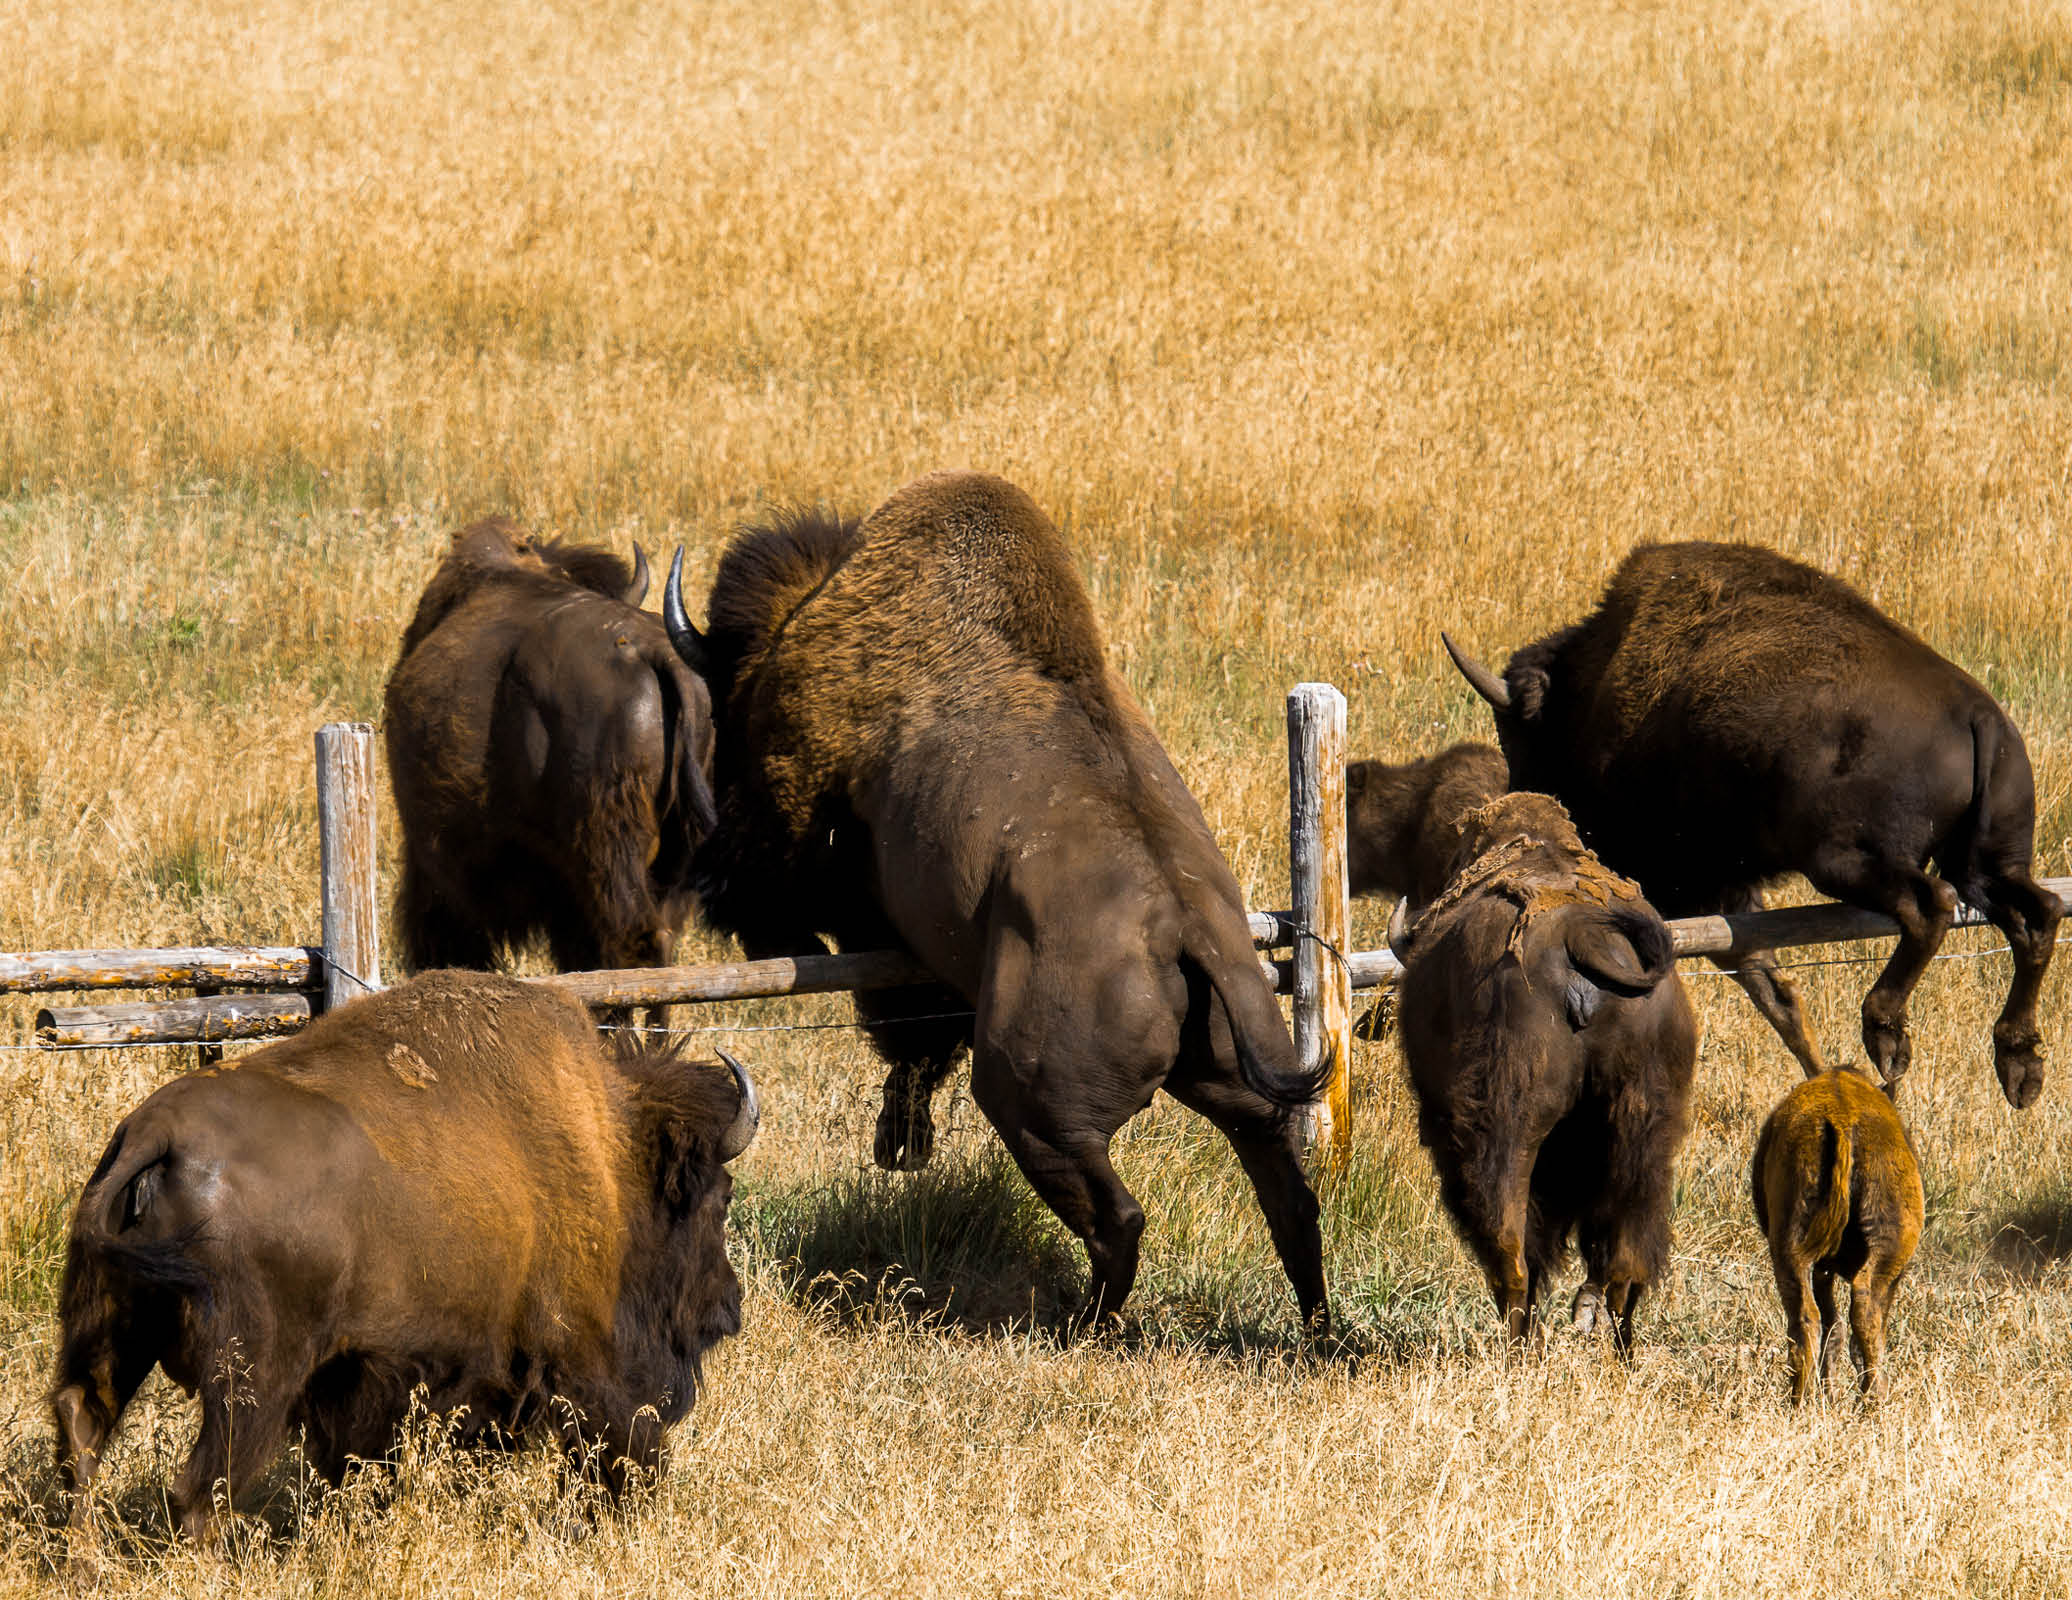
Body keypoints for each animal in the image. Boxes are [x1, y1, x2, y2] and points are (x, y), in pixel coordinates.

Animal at [49, 971, 758, 1546]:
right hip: (250, 1377)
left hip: (110, 1328)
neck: (611, 1156)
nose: (729, 1306)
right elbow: (610, 1437)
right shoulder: (576, 1359)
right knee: (202, 1488)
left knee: (82, 1424)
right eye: (719, 1198)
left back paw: (85, 1559)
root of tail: (153, 1134)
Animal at [659, 471, 1330, 1334]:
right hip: (1238, 1072)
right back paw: (1316, 1330)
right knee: (1287, 1192)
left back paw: (1082, 1325)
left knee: (1118, 1216)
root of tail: (1185, 930)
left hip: (1034, 1108)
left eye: (732, 708)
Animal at [1388, 792, 1696, 1351]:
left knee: (1509, 1241)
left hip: (1509, 1127)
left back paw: (1518, 1344)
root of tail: (1581, 940)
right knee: (1629, 1251)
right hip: (1644, 1130)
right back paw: (1614, 1343)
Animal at [1442, 540, 2062, 1107]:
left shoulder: (1692, 884)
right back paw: (2019, 1066)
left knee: (1930, 907)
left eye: (1523, 738)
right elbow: (1768, 982)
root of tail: (1976, 714)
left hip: (1848, 861)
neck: (1597, 681)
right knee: (2036, 915)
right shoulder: (1727, 894)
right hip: (1989, 861)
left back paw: (1886, 1036)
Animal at [1751, 1067, 1923, 1403]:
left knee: (1807, 1319)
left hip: (1789, 1248)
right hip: (1885, 1251)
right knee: (1865, 1311)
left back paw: (1802, 1398)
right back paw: (1873, 1398)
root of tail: (1843, 1121)